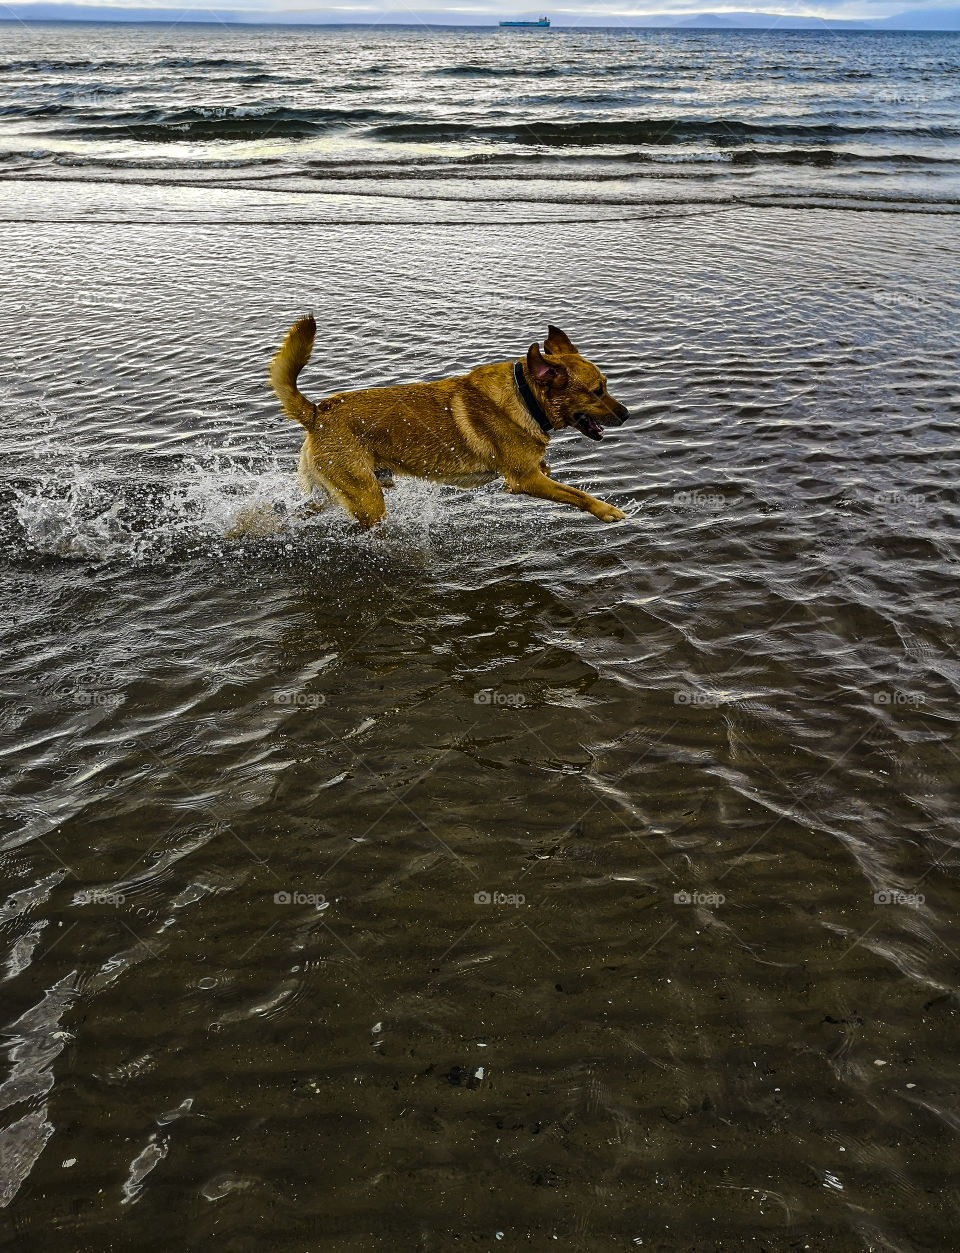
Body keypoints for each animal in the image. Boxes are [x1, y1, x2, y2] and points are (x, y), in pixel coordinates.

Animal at [270, 318, 631, 528]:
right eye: (597, 392)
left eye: (606, 385)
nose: (627, 413)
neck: (524, 397)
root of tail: (318, 412)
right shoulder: (524, 481)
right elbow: (576, 494)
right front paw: (606, 510)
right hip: (368, 499)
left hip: (337, 491)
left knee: (287, 512)